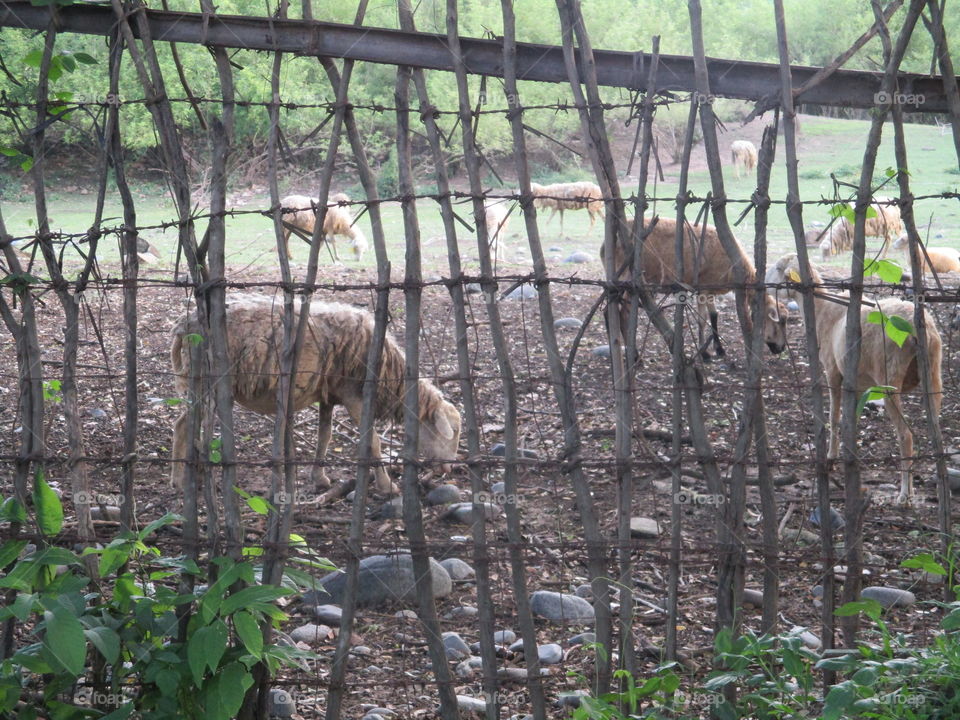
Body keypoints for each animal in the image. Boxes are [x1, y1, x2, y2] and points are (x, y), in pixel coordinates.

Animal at [169, 294, 461, 496]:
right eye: (454, 431)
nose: (449, 469)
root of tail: (184, 325)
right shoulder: (355, 396)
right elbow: (373, 441)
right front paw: (387, 486)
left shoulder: (329, 394)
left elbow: (325, 435)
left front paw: (319, 477)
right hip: (204, 380)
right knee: (183, 425)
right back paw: (180, 481)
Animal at [602, 216, 788, 360]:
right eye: (780, 321)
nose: (781, 349)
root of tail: (605, 246)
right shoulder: (703, 288)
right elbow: (702, 319)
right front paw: (704, 353)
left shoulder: (711, 288)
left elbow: (714, 316)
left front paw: (719, 349)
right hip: (627, 278)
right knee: (622, 314)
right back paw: (634, 357)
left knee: (609, 311)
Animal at [767, 253, 942, 502]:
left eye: (778, 267)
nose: (765, 284)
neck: (821, 308)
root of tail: (919, 329)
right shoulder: (858, 385)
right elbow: (852, 420)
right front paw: (850, 456)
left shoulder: (832, 370)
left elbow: (834, 417)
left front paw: (831, 458)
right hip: (933, 373)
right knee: (936, 434)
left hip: (889, 377)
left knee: (905, 436)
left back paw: (904, 495)